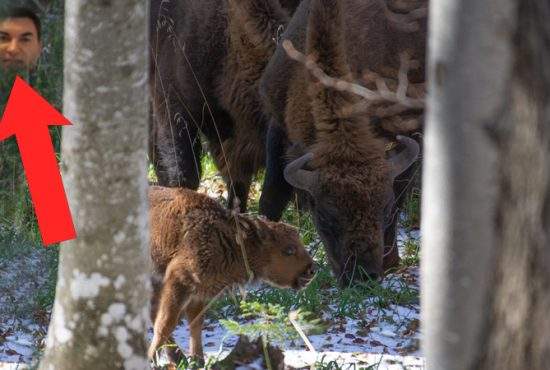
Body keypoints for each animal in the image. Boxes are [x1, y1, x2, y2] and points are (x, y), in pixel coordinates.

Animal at [149, 186, 316, 360]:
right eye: (288, 250)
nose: (312, 270)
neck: (228, 240)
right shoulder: (178, 281)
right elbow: (165, 325)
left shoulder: (200, 293)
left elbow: (195, 324)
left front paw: (198, 360)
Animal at [238, 0, 426, 284]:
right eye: (325, 218)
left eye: (383, 209)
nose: (362, 276)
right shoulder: (277, 123)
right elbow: (272, 195)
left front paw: (391, 261)